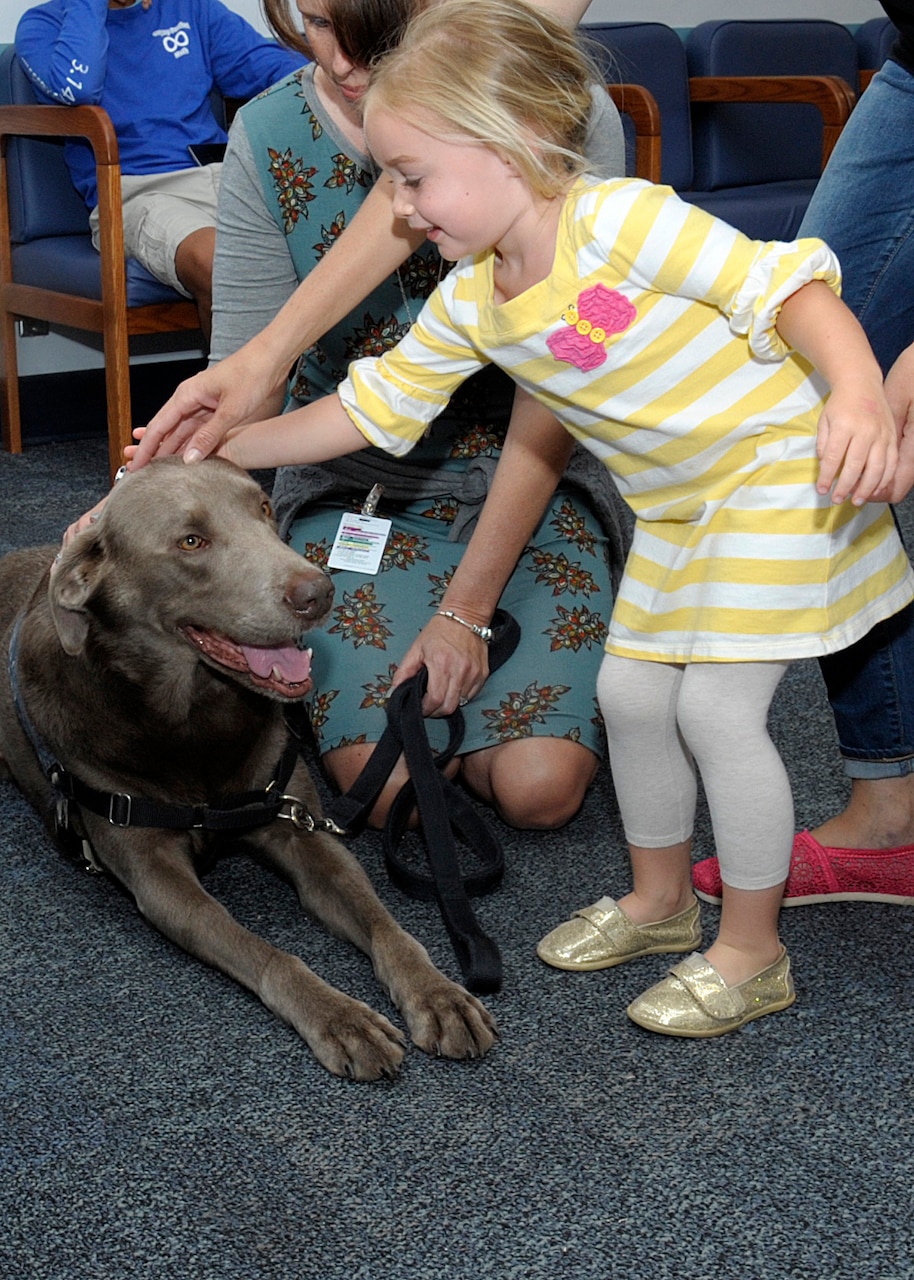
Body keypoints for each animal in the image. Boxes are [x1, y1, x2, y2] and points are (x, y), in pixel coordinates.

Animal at [0, 460, 491, 1080]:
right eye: (191, 541)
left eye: (262, 508)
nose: (319, 592)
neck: (192, 726)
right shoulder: (158, 879)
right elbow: (271, 955)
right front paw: (341, 1018)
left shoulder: (301, 827)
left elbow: (386, 925)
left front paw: (438, 995)